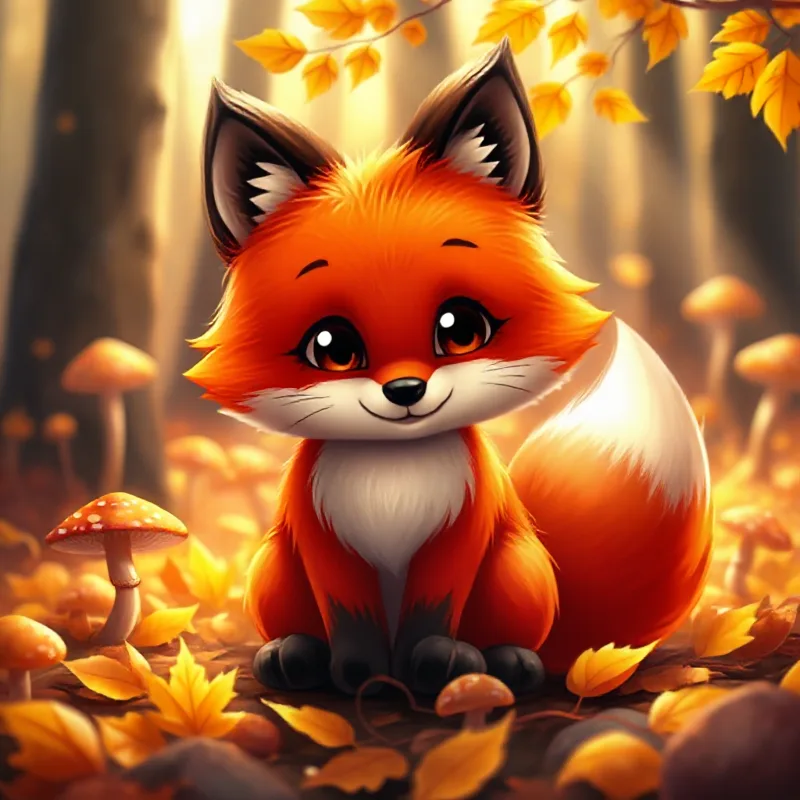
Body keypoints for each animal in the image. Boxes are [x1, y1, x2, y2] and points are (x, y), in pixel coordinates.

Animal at [186, 39, 713, 697]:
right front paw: (359, 672)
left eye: (460, 328)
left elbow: (430, 615)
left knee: (522, 644)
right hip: (274, 568)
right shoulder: (325, 545)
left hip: (517, 569)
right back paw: (295, 655)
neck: (392, 479)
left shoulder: (459, 537)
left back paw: (502, 662)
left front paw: (429, 663)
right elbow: (351, 618)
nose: (405, 389)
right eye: (331, 346)